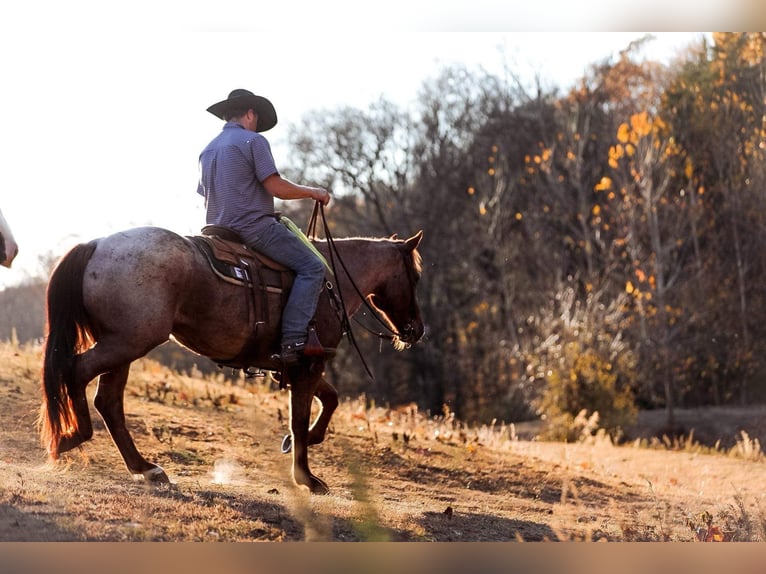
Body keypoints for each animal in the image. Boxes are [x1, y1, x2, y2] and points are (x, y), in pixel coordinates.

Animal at [39, 224, 424, 494]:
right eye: (416, 277)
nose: (416, 330)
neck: (330, 282)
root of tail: (97, 244)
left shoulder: (301, 366)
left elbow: (330, 400)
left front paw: (304, 445)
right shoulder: (308, 366)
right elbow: (299, 419)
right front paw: (307, 478)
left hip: (124, 347)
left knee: (108, 401)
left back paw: (146, 468)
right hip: (127, 344)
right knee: (78, 372)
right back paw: (73, 437)